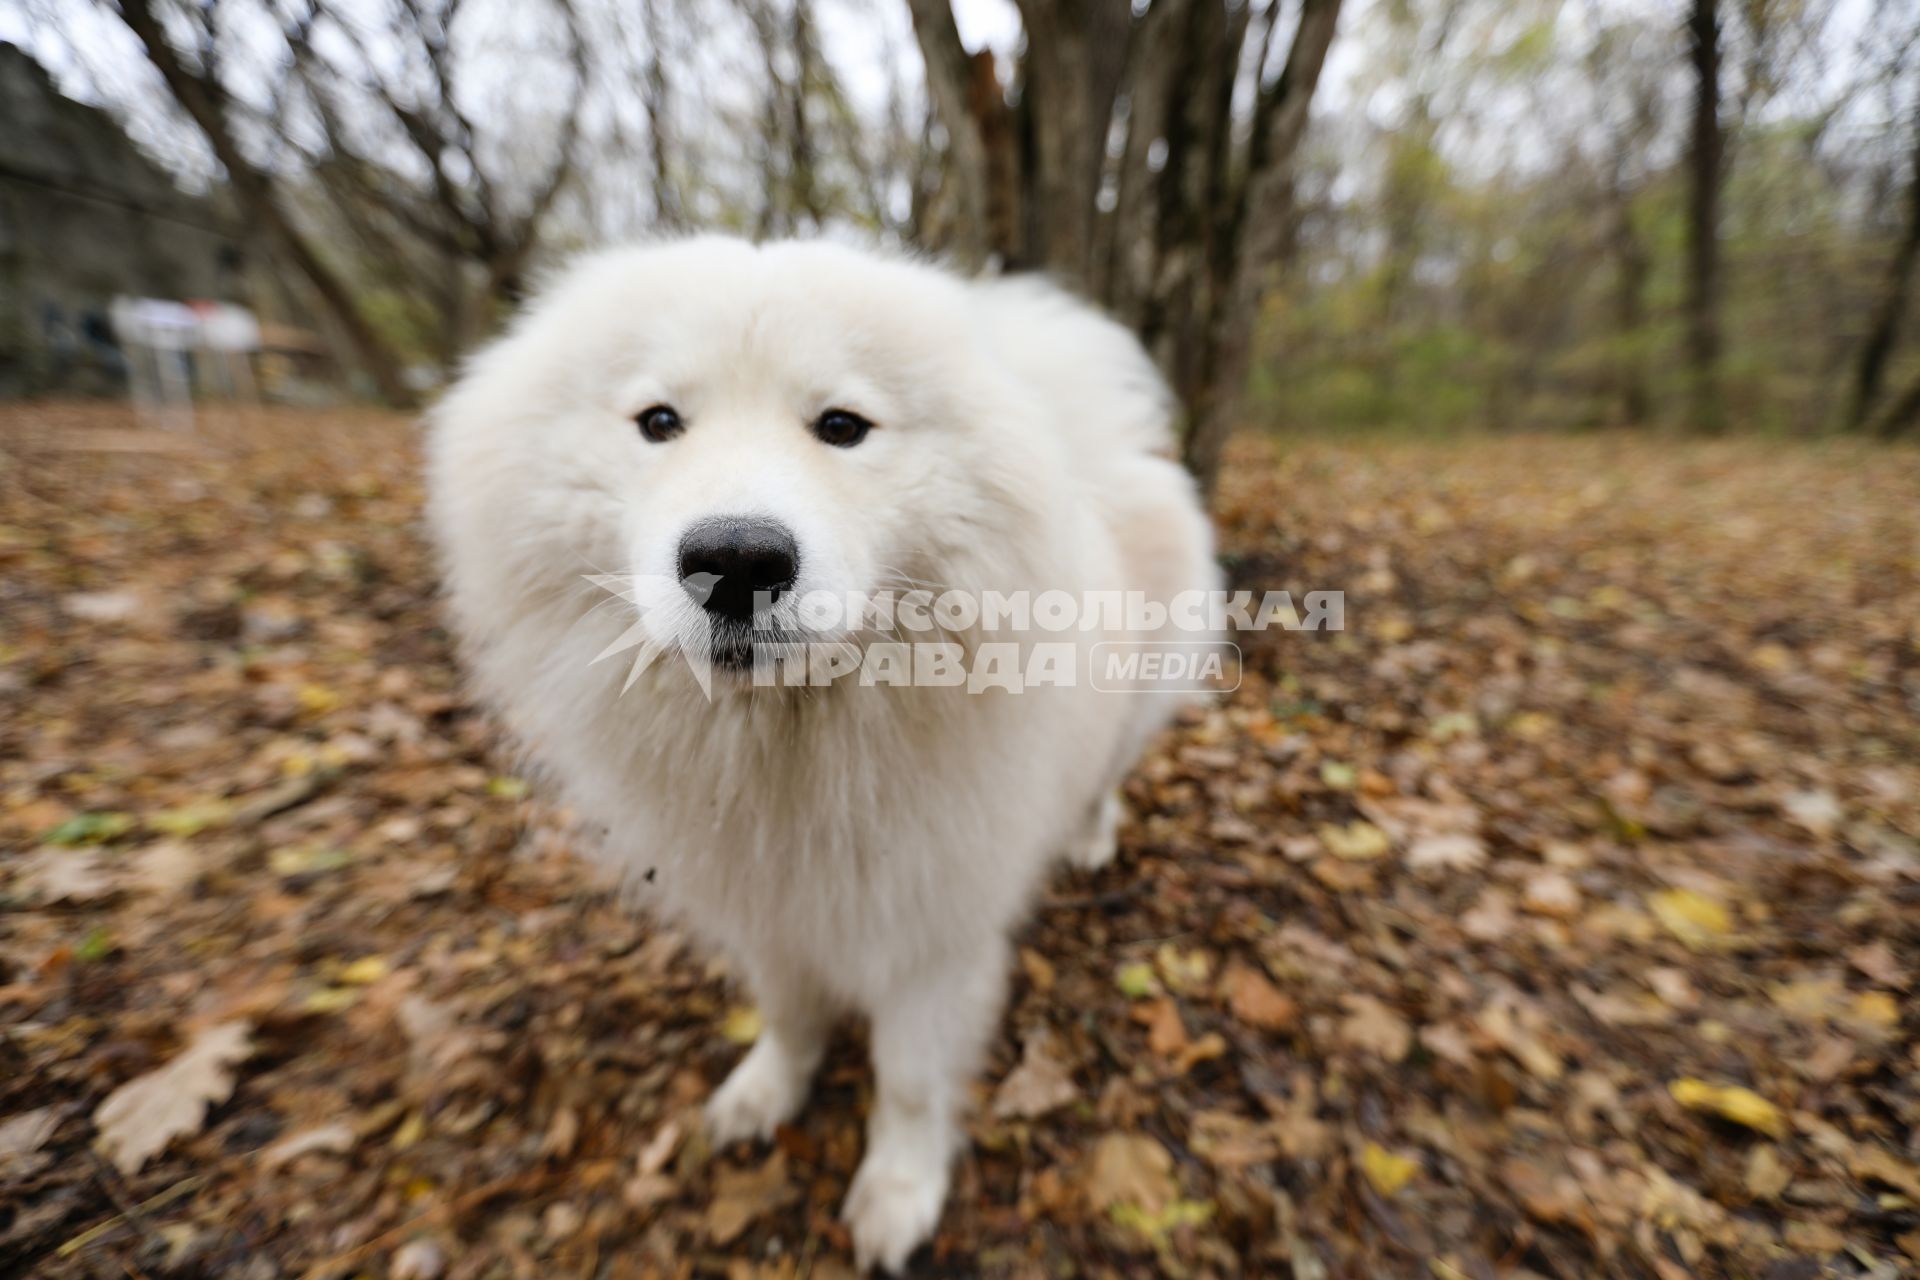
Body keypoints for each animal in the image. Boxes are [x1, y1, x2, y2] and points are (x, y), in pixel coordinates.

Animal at [430, 237, 1221, 1274]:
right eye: (659, 422)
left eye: (842, 426)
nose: (737, 561)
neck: (794, 744)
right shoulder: (769, 905)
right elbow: (789, 1016)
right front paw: (767, 1094)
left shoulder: (932, 935)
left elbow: (910, 1080)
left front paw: (899, 1192)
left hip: (1132, 715)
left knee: (1106, 778)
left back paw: (1089, 839)